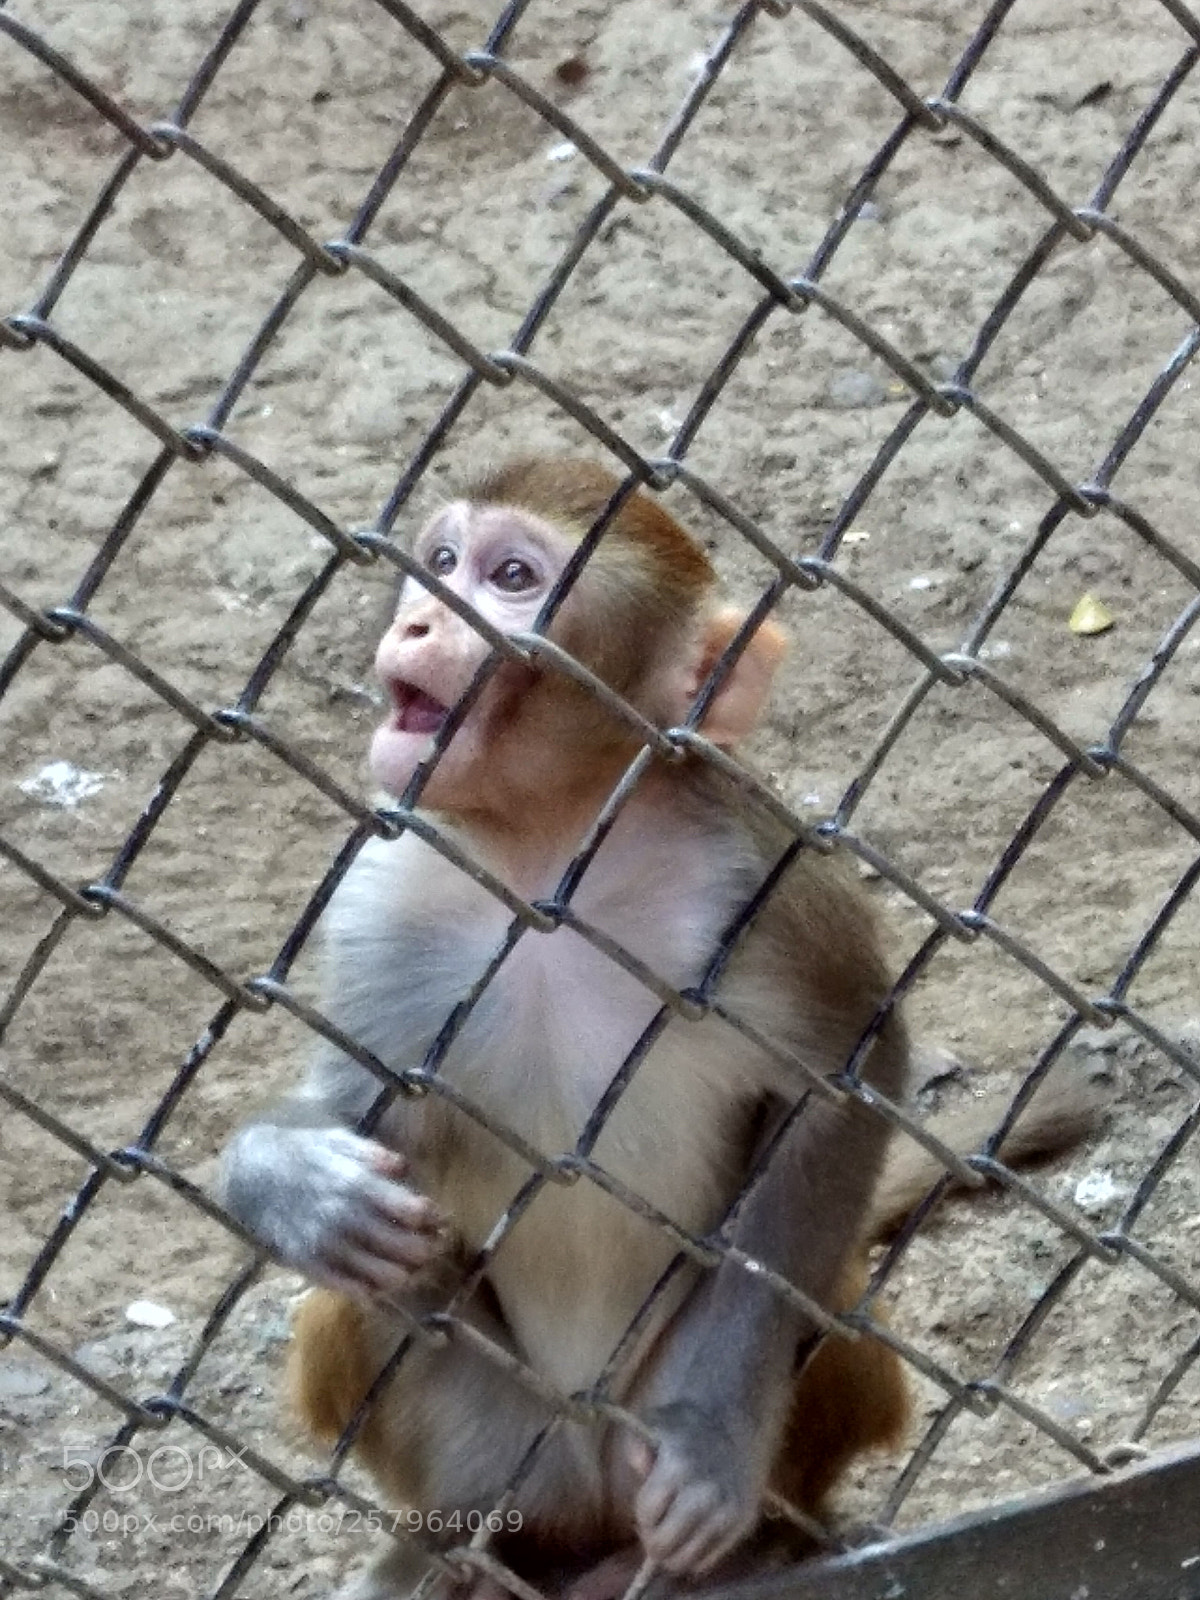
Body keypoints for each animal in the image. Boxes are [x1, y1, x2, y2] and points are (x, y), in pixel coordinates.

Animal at [220, 459, 1101, 1600]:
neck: (550, 855)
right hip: (510, 1448)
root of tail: (586, 1497)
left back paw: (752, 1541)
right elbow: (361, 1114)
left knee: (824, 1297)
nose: (417, 619)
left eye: (512, 577)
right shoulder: (380, 893)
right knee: (356, 1308)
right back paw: (442, 1558)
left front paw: (709, 1436)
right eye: (441, 560)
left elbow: (841, 1081)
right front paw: (292, 1182)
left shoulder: (758, 878)